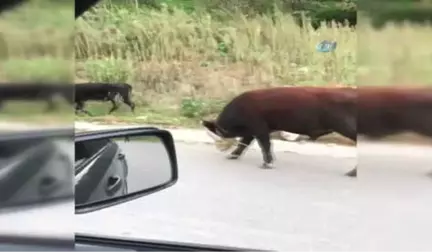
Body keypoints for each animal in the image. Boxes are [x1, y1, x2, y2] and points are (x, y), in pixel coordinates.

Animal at [202, 86, 358, 177]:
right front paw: (231, 156)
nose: (219, 148)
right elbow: (244, 143)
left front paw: (267, 165)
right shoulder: (253, 129)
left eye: (218, 133)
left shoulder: (260, 127)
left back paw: (351, 173)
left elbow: (264, 144)